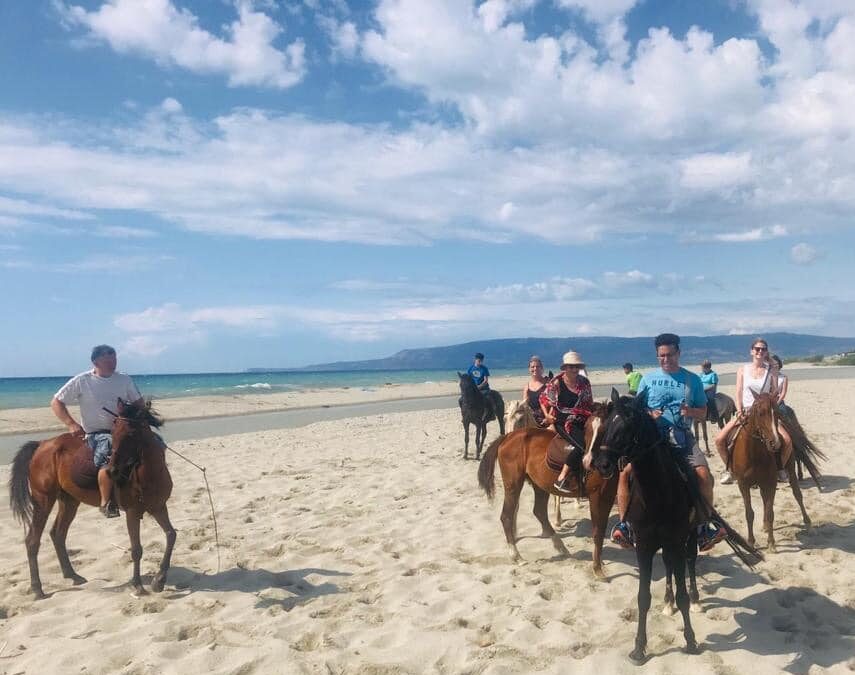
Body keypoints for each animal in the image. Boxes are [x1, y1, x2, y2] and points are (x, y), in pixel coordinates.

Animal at [9, 399, 176, 598]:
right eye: (114, 431)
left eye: (132, 433)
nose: (112, 470)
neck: (148, 475)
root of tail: (42, 444)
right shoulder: (132, 512)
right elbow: (136, 549)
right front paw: (137, 585)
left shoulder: (159, 507)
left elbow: (171, 535)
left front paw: (159, 580)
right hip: (43, 500)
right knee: (33, 540)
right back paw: (37, 588)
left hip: (69, 501)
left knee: (58, 534)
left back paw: (72, 575)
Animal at [477, 402, 616, 578]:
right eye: (587, 429)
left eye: (606, 429)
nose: (588, 461)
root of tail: (508, 437)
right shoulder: (596, 496)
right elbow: (597, 532)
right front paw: (597, 569)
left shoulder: (608, 497)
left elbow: (601, 529)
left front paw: (599, 562)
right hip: (513, 484)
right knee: (507, 516)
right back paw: (517, 556)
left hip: (539, 485)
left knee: (539, 512)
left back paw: (561, 547)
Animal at [593, 389, 762, 663]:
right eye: (606, 425)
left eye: (628, 427)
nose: (602, 464)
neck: (656, 493)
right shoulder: (644, 546)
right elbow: (643, 597)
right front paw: (639, 648)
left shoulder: (675, 541)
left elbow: (683, 592)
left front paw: (691, 640)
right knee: (670, 566)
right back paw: (667, 601)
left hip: (689, 537)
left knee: (690, 562)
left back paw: (695, 599)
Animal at [728, 391, 821, 552]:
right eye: (760, 413)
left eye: (777, 413)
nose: (775, 443)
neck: (754, 453)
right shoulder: (743, 484)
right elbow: (749, 513)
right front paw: (751, 542)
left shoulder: (770, 482)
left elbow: (770, 511)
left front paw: (771, 543)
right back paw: (765, 526)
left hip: (790, 469)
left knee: (797, 494)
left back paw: (808, 524)